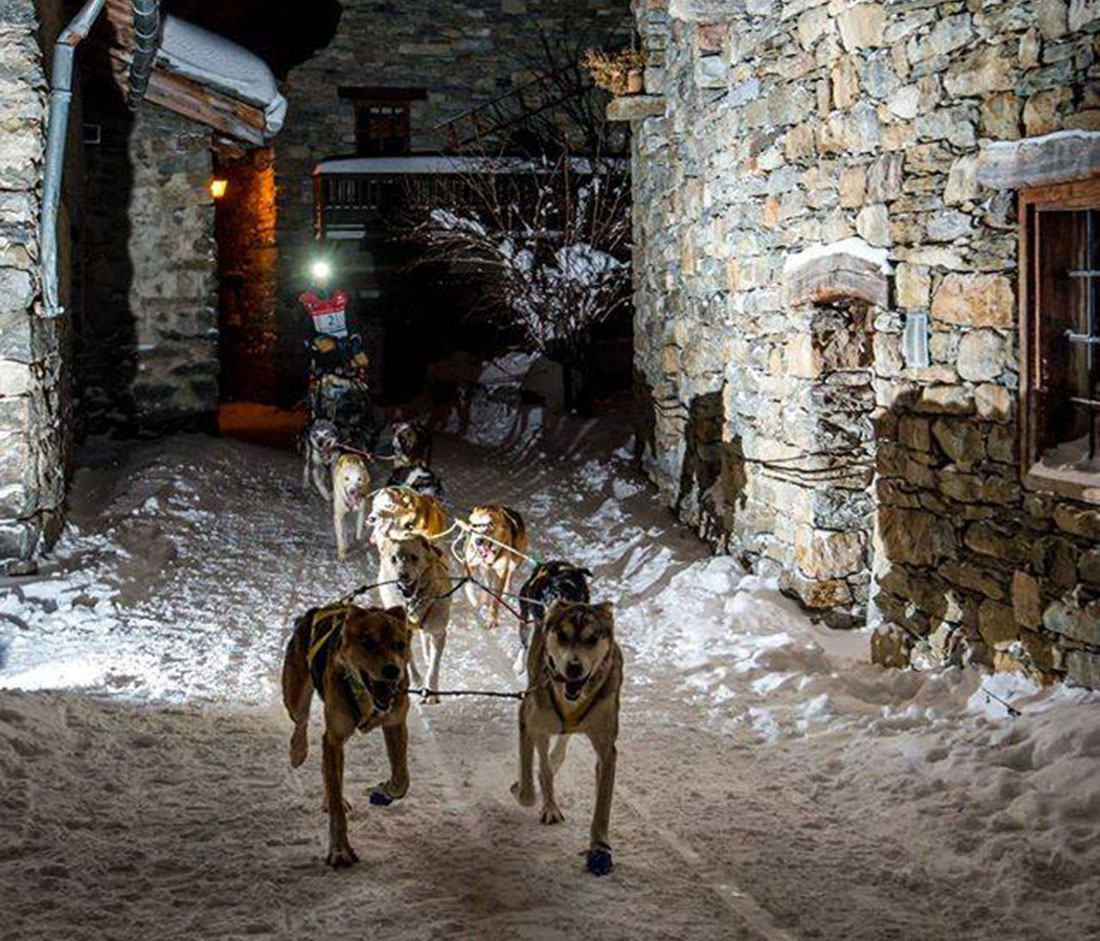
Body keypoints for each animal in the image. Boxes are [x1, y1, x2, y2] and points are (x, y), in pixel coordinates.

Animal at [283, 603, 413, 867]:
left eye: (400, 645)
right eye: (369, 643)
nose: (393, 670)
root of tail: (316, 610)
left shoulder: (395, 723)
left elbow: (402, 779)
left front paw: (384, 790)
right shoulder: (334, 736)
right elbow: (336, 807)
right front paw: (339, 849)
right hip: (296, 698)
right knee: (301, 723)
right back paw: (298, 751)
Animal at [374, 532, 451, 704]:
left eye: (414, 557)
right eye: (393, 559)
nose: (402, 576)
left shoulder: (439, 633)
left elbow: (434, 667)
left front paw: (431, 691)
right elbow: (409, 663)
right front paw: (417, 684)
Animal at [512, 598, 624, 880]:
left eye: (592, 638)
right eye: (562, 635)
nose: (574, 667)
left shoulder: (607, 751)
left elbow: (602, 807)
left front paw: (600, 848)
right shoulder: (528, 721)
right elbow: (529, 789)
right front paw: (523, 789)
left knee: (558, 752)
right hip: (541, 729)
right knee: (543, 764)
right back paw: (549, 804)